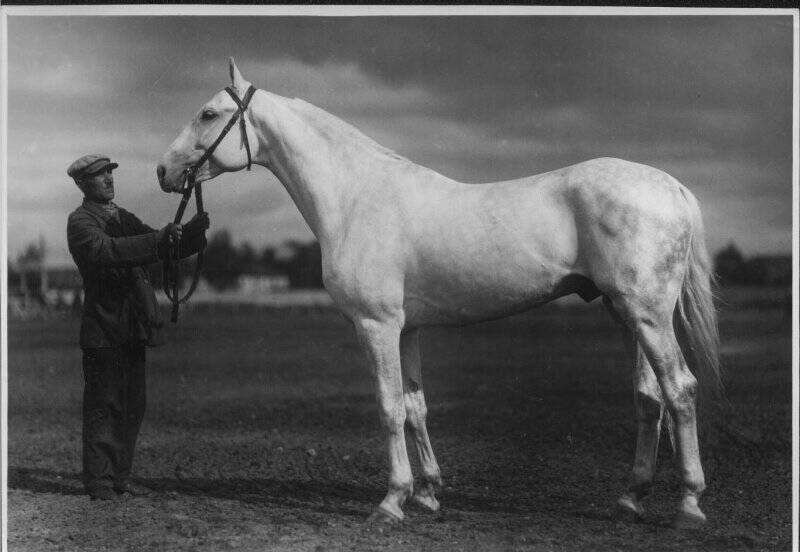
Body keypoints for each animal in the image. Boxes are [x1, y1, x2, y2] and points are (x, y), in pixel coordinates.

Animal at [159, 58, 720, 528]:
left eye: (208, 113)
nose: (163, 172)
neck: (356, 197)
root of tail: (670, 187)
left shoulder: (376, 326)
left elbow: (389, 407)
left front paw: (390, 502)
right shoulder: (406, 330)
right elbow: (415, 407)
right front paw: (427, 494)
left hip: (647, 315)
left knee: (680, 389)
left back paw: (689, 505)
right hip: (625, 315)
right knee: (649, 397)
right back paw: (629, 498)